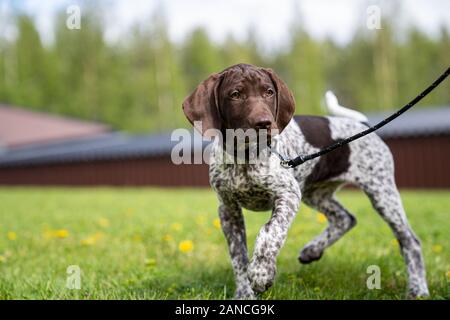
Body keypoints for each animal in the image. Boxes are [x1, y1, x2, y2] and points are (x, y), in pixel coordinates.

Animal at [181, 63, 428, 298]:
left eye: (269, 92)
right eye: (235, 94)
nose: (264, 123)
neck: (244, 156)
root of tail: (364, 126)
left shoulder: (288, 195)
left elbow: (269, 232)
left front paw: (261, 273)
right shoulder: (228, 209)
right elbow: (238, 257)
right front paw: (244, 294)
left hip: (382, 192)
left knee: (410, 242)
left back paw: (418, 290)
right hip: (316, 193)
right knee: (345, 218)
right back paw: (313, 250)